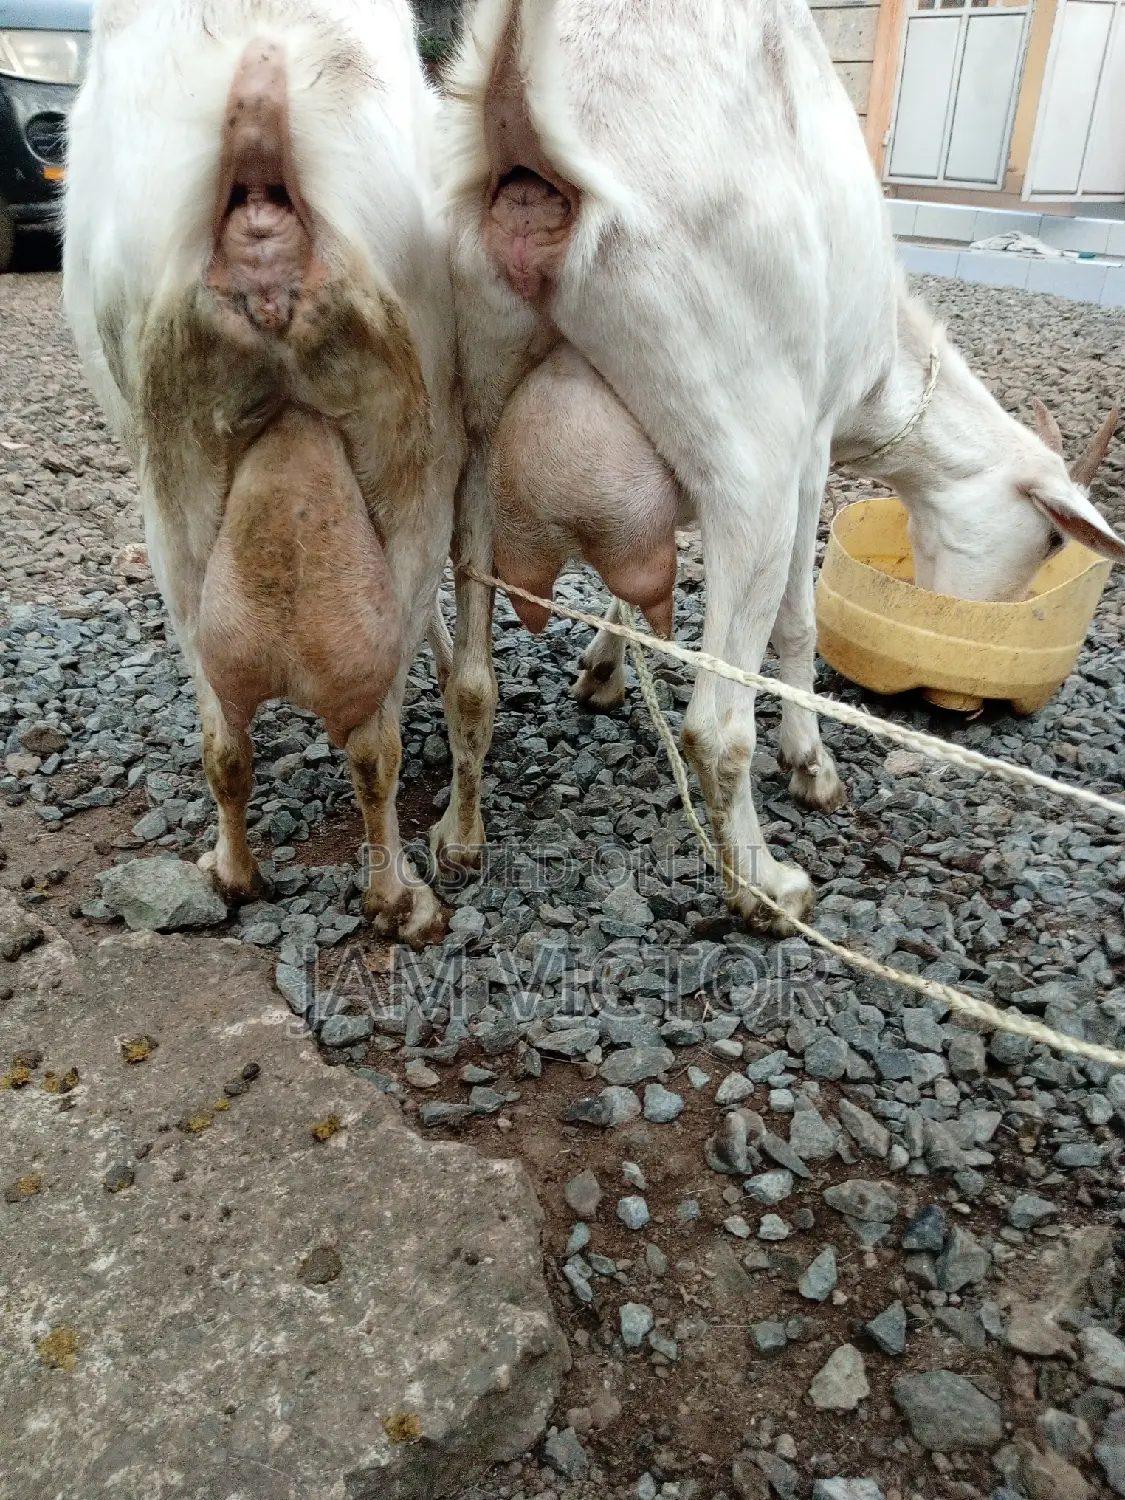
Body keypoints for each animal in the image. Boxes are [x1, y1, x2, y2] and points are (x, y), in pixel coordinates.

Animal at [64, 0, 462, 946]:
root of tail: (261, 193)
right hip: (402, 465)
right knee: (345, 745)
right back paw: (376, 899)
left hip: (180, 488)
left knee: (253, 736)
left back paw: (256, 878)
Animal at [433, 0, 1125, 932]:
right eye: (1052, 540)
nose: (969, 695)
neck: (887, 365)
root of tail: (525, 134)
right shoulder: (810, 452)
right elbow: (797, 625)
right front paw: (812, 764)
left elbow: (627, 590)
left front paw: (602, 671)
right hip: (744, 445)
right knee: (713, 726)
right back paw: (763, 886)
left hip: (470, 419)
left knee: (472, 679)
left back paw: (460, 836)